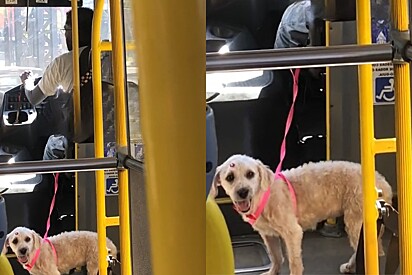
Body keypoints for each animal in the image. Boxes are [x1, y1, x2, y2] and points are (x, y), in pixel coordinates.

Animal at [212, 155, 392, 275]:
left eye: (250, 174)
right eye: (230, 177)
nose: (243, 192)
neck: (264, 195)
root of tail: (382, 181)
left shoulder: (293, 233)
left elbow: (294, 262)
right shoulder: (269, 235)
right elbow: (276, 256)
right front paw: (272, 272)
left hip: (356, 223)